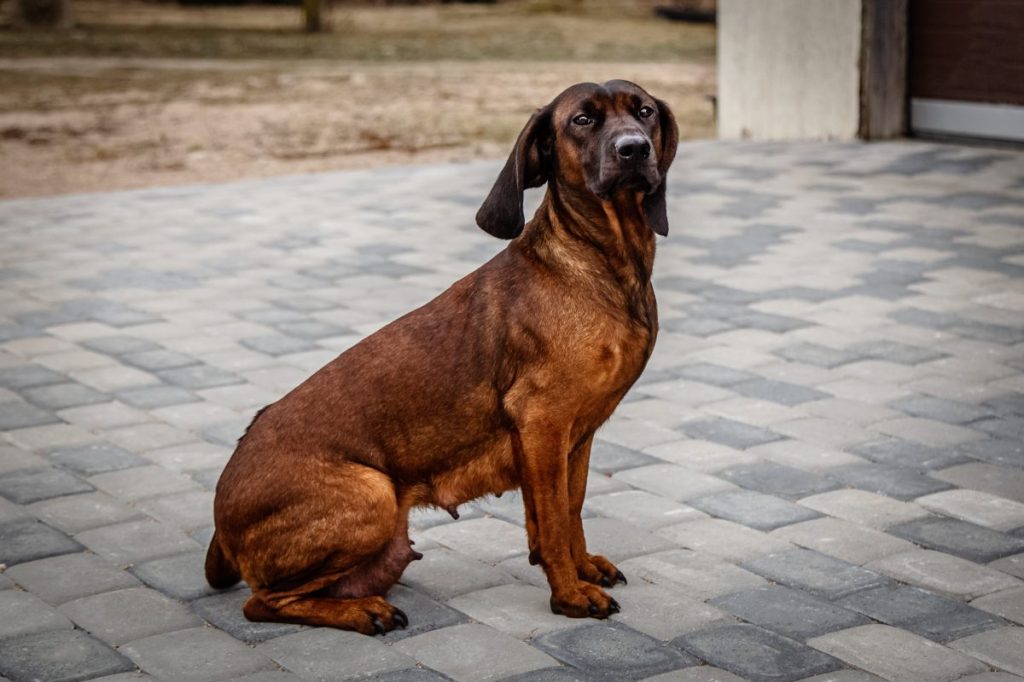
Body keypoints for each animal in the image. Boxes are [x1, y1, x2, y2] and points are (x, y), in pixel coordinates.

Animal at [203, 79, 675, 630]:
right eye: (582, 120)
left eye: (644, 112)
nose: (634, 149)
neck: (596, 264)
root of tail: (219, 520)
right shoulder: (543, 424)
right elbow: (555, 521)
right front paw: (570, 595)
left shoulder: (575, 436)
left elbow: (569, 511)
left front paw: (582, 569)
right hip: (374, 493)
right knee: (262, 603)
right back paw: (363, 611)